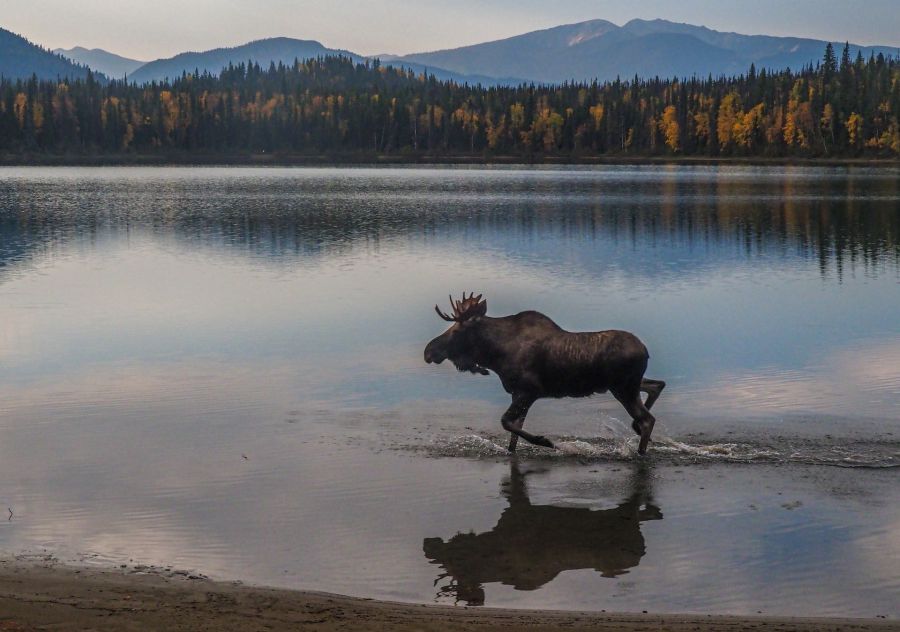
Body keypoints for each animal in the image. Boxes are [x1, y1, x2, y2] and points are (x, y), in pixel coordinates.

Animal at [426, 294, 664, 456]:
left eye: (457, 331)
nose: (428, 351)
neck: (495, 355)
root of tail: (645, 351)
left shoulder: (529, 391)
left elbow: (506, 422)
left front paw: (545, 441)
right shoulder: (518, 394)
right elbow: (513, 434)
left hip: (623, 388)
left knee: (647, 419)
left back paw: (640, 451)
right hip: (626, 385)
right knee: (657, 385)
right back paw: (636, 430)